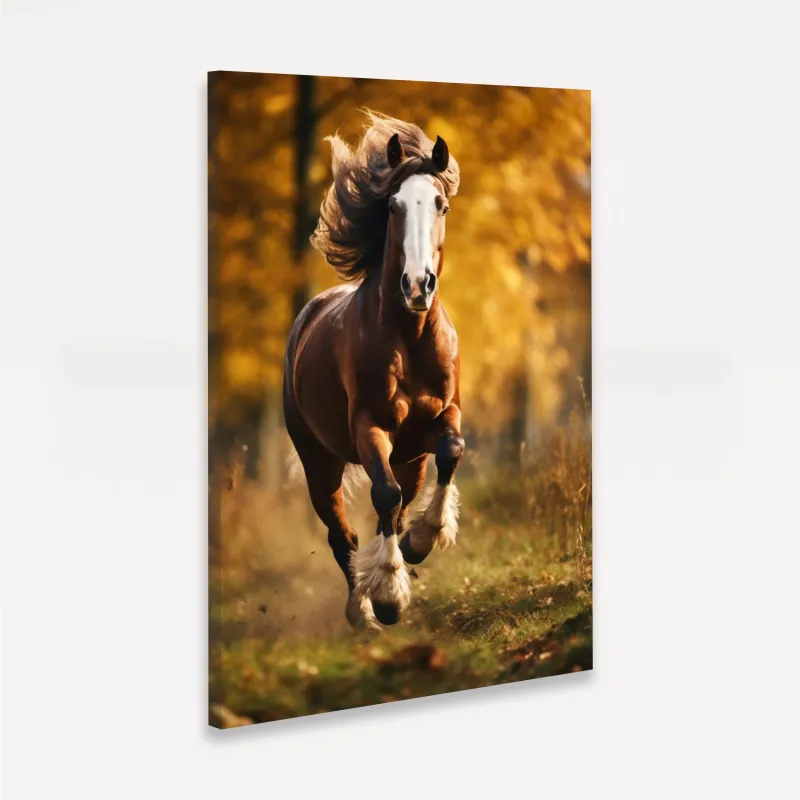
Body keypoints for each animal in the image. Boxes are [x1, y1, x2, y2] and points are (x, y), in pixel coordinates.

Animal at [283, 112, 464, 630]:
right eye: (393, 207)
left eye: (441, 204)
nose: (418, 285)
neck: (410, 335)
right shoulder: (370, 427)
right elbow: (383, 495)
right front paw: (387, 597)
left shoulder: (442, 416)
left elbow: (452, 452)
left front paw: (421, 541)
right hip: (318, 459)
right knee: (340, 532)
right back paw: (360, 610)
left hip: (411, 457)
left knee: (403, 500)